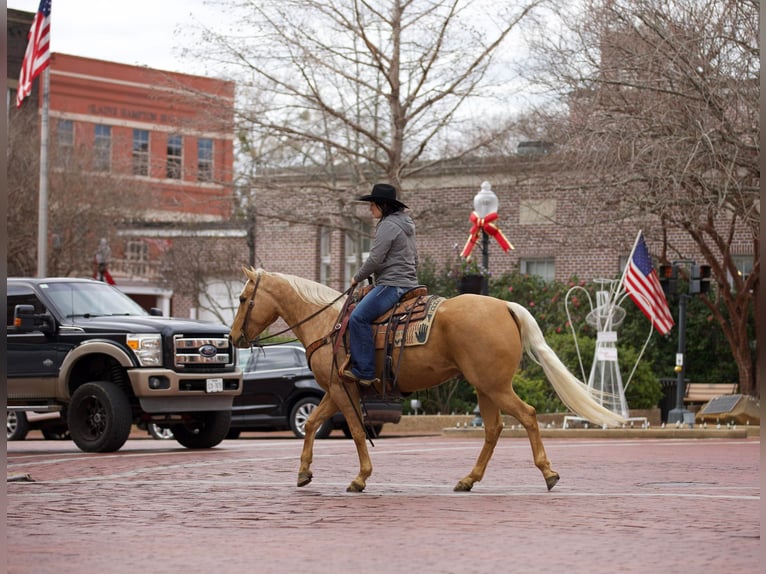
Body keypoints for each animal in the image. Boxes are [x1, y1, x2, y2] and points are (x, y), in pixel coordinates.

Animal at [231, 270, 628, 496]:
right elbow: (313, 423)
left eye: (243, 298)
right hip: (485, 387)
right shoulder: (337, 389)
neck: (328, 324)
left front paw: (360, 478)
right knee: (493, 429)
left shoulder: (341, 389)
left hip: (495, 386)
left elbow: (355, 432)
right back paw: (468, 479)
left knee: (528, 416)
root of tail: (504, 306)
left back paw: (548, 473)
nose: (234, 337)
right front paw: (303, 472)